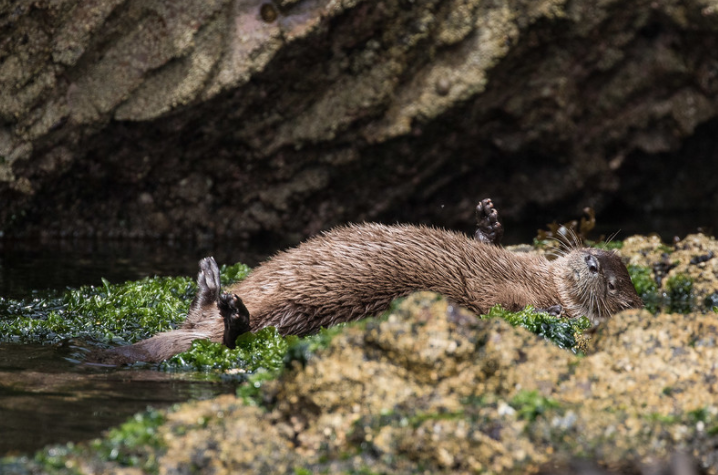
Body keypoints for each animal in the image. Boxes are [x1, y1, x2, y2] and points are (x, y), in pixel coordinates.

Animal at [95, 199, 642, 364]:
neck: (535, 279)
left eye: (616, 288)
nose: (592, 260)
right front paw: (487, 222)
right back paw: (212, 282)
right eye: (604, 258)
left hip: (295, 314)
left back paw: (235, 317)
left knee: (232, 338)